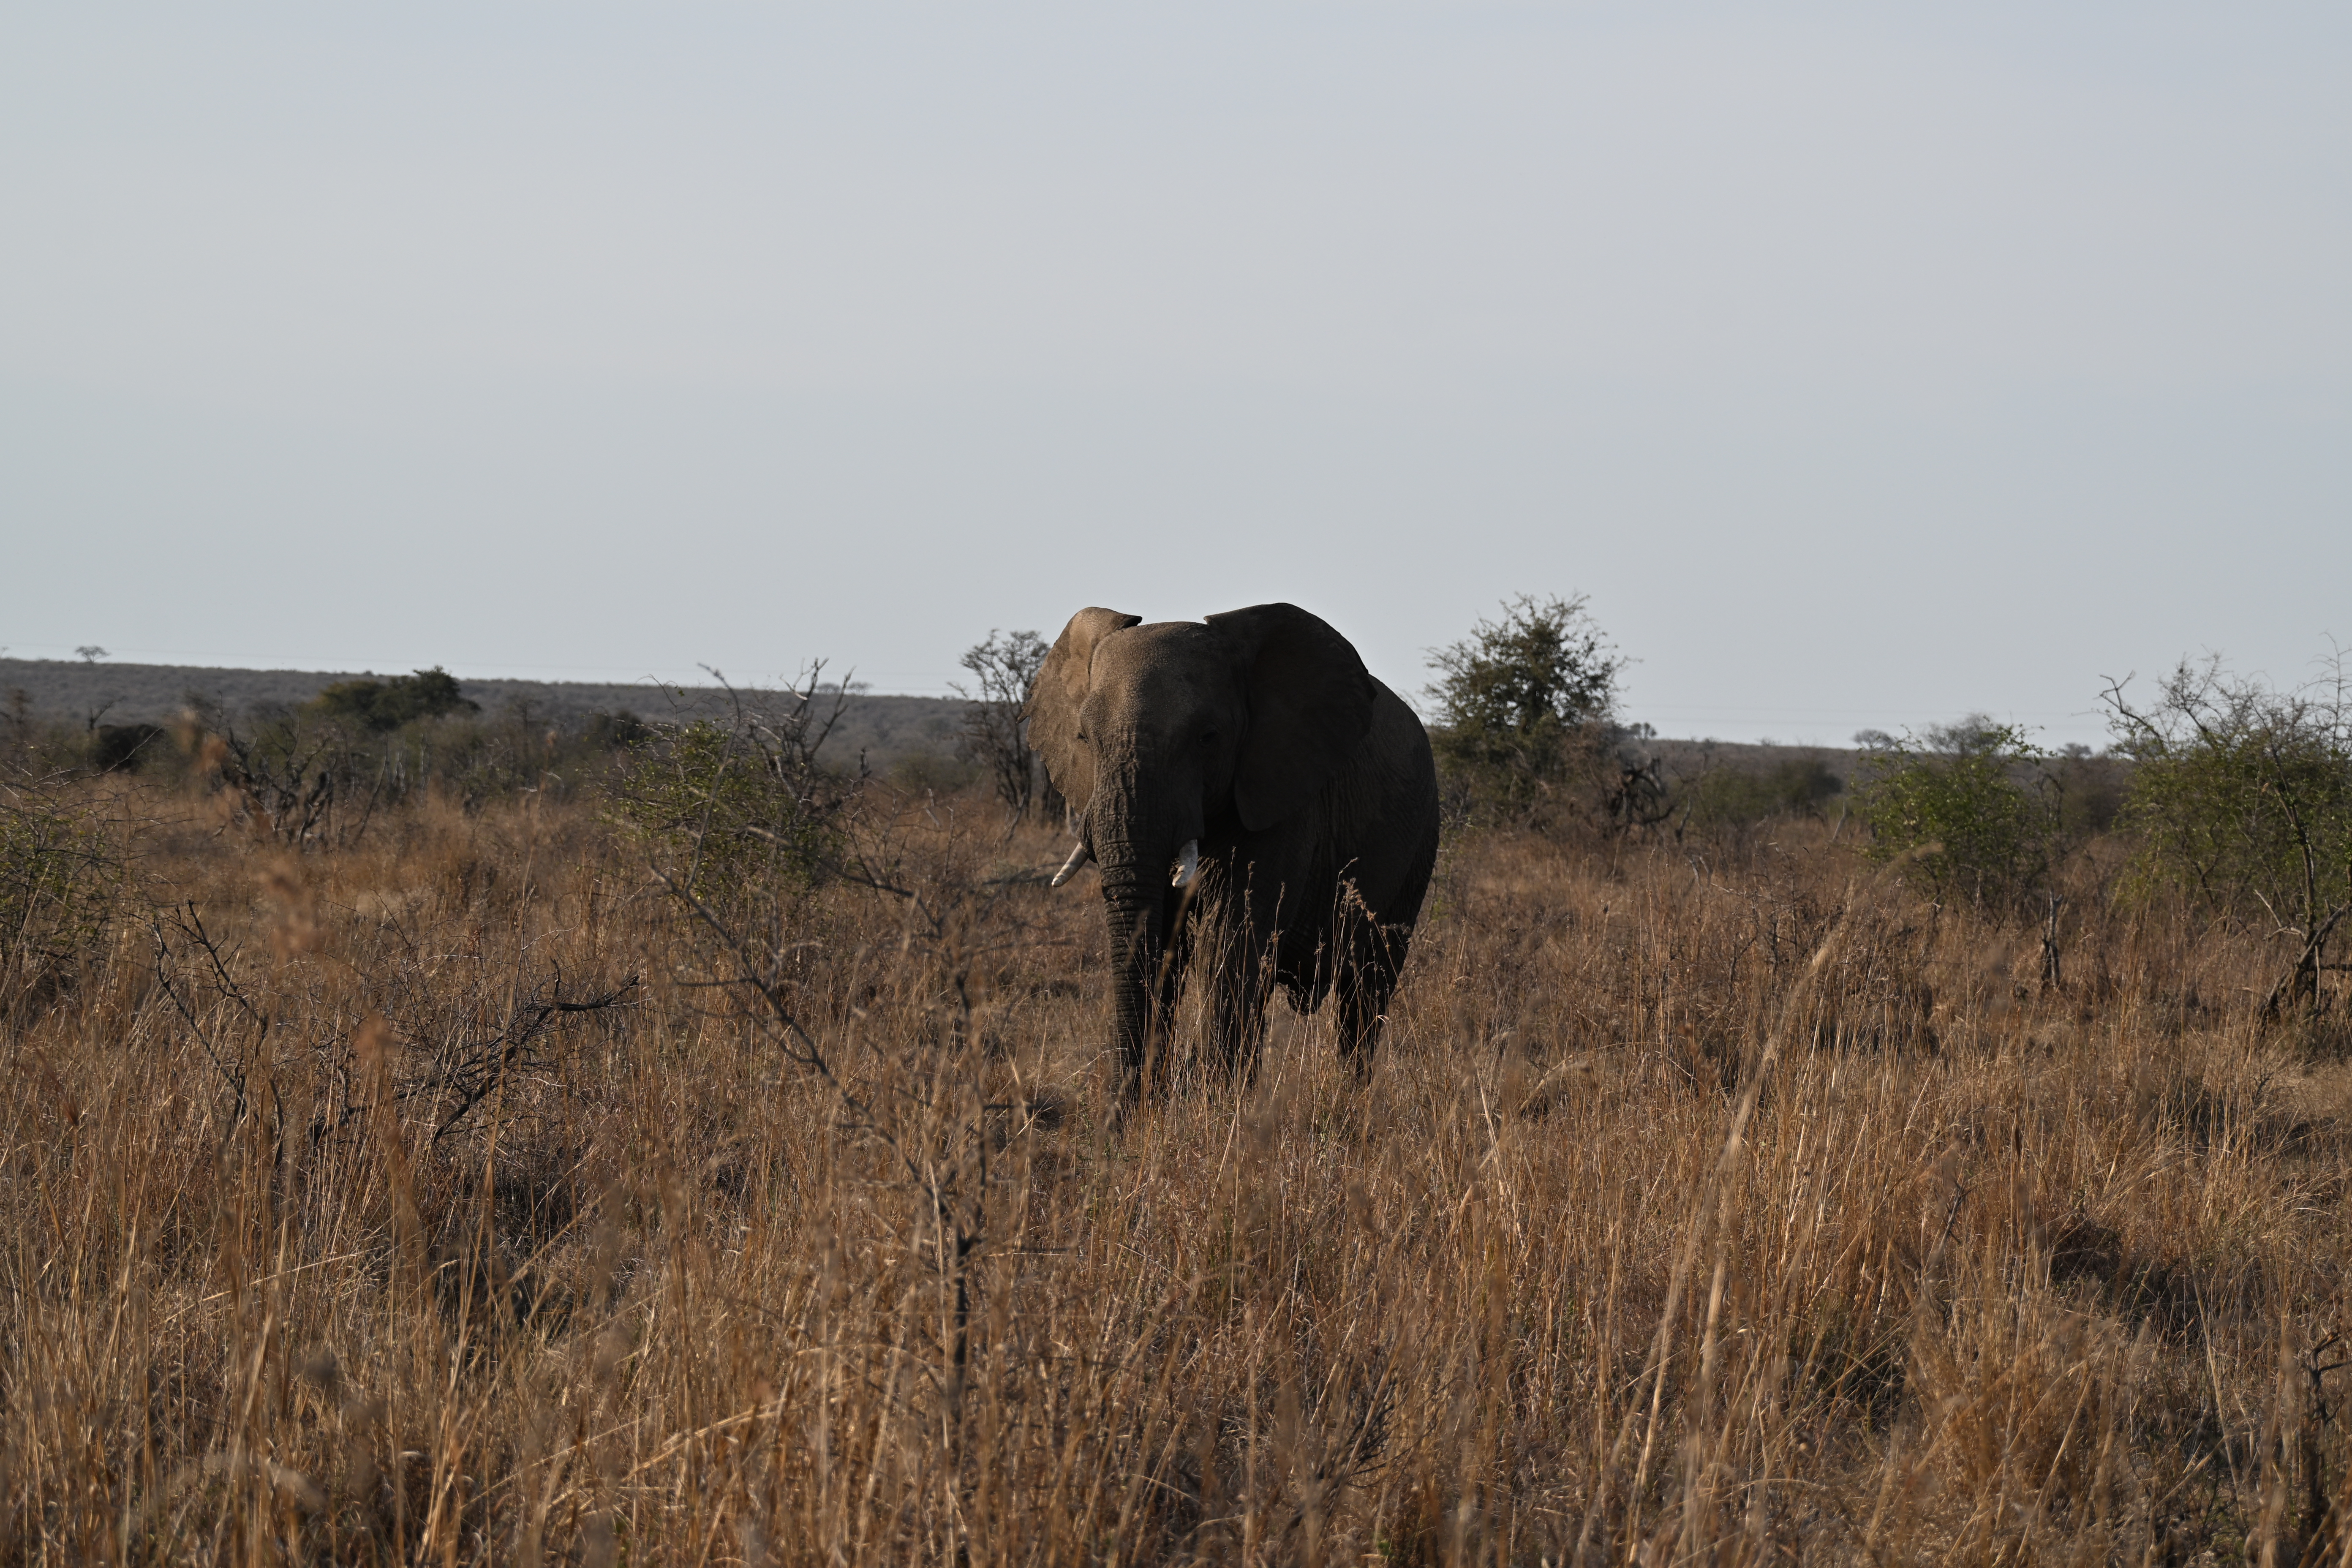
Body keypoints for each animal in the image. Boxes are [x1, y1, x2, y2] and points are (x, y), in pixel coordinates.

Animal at [1023, 601, 1441, 1099]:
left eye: (1209, 737)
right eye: (1085, 738)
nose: (1122, 1105)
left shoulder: (1280, 796)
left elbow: (1230, 940)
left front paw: (1217, 1103)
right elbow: (1168, 943)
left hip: (1421, 843)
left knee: (1368, 986)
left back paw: (1348, 1101)